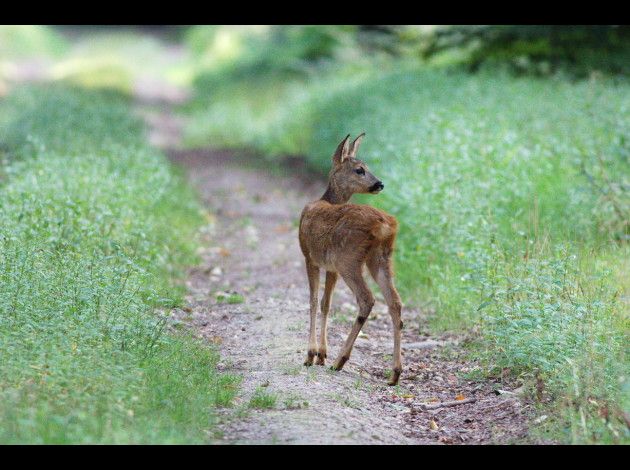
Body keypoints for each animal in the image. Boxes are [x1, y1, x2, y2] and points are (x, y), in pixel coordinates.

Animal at [298, 132, 404, 386]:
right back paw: (394, 374)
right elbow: (326, 304)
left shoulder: (310, 257)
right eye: (360, 169)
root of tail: (386, 225)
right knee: (395, 302)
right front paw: (321, 354)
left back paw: (340, 360)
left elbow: (313, 301)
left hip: (349, 259)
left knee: (367, 299)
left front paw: (311, 355)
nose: (380, 184)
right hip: (380, 258)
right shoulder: (330, 267)